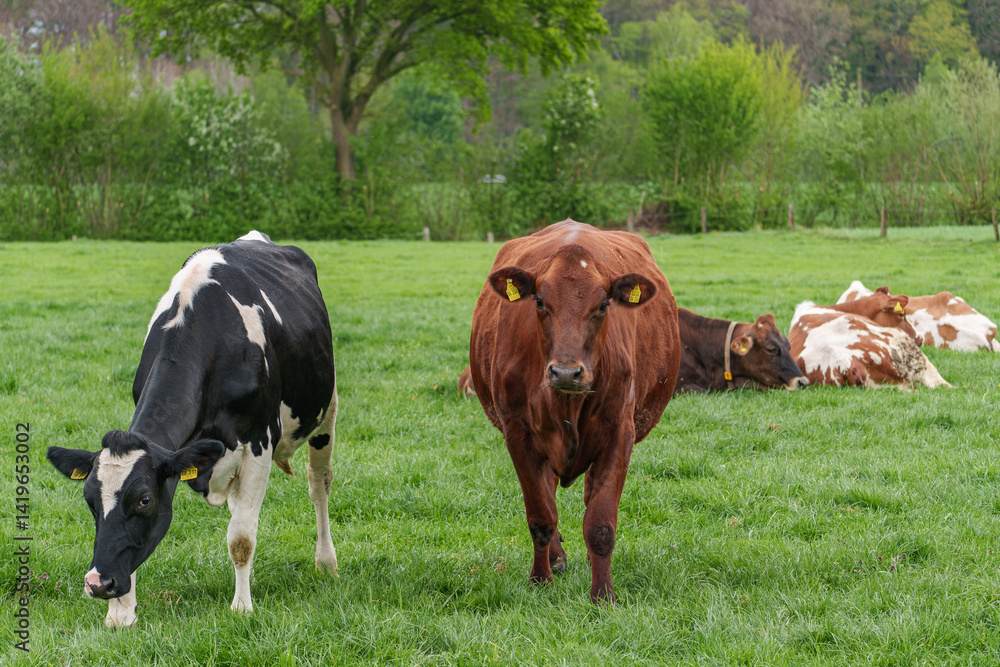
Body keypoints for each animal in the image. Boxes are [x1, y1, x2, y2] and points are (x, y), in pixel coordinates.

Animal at [46, 231, 339, 628]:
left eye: (144, 499)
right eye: (89, 499)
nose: (98, 584)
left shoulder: (259, 443)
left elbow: (241, 538)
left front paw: (242, 607)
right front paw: (120, 613)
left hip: (327, 411)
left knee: (318, 484)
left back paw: (326, 562)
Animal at [469, 219, 681, 604]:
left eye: (603, 305)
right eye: (539, 301)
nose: (566, 372)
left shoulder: (620, 434)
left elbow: (600, 524)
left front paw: (603, 595)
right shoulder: (518, 434)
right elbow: (540, 516)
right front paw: (541, 580)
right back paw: (556, 558)